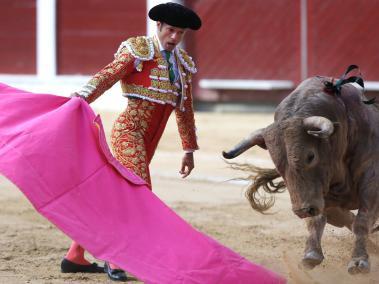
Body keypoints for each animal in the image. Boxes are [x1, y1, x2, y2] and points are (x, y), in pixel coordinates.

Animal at [223, 68, 379, 272]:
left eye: (311, 156)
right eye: (277, 163)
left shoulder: (371, 180)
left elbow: (362, 219)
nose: (302, 210)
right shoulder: (319, 195)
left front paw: (359, 261)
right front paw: (311, 255)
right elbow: (319, 219)